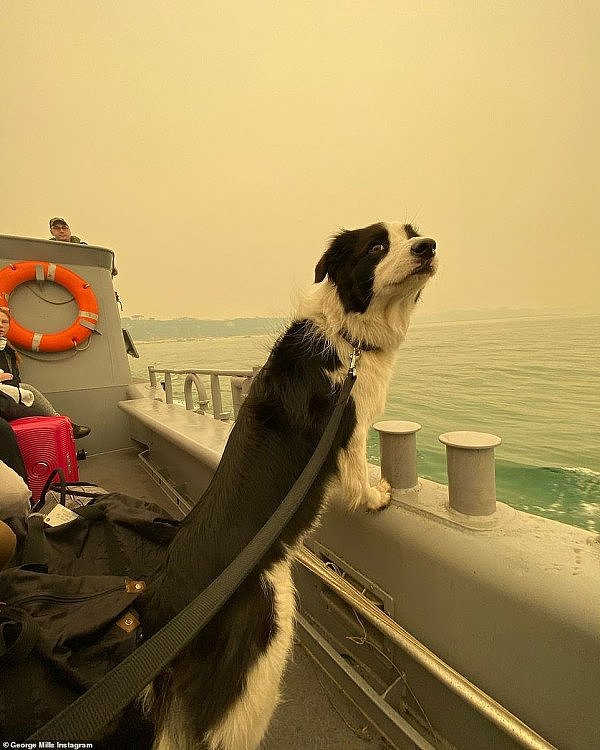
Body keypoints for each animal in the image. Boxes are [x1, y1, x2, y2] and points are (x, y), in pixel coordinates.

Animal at [131, 220, 436, 748]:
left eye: (412, 233)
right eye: (378, 245)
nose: (428, 247)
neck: (348, 333)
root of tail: (161, 610)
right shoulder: (349, 425)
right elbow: (357, 469)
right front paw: (376, 495)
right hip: (261, 651)